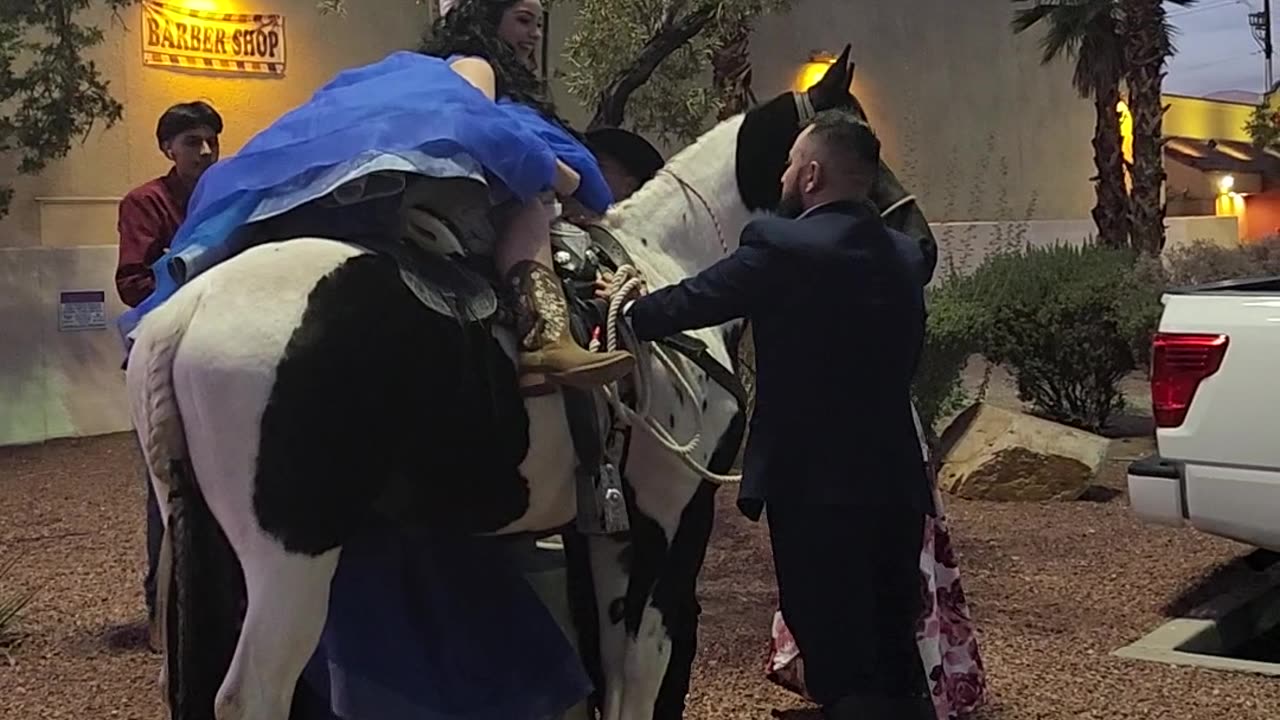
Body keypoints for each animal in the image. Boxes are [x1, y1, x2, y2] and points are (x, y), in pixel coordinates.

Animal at [124, 44, 936, 717]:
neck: (663, 266)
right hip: (290, 560)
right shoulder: (671, 512)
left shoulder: (601, 529)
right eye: (861, 138)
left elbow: (609, 668)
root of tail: (186, 312)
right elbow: (645, 669)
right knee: (252, 694)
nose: (920, 243)